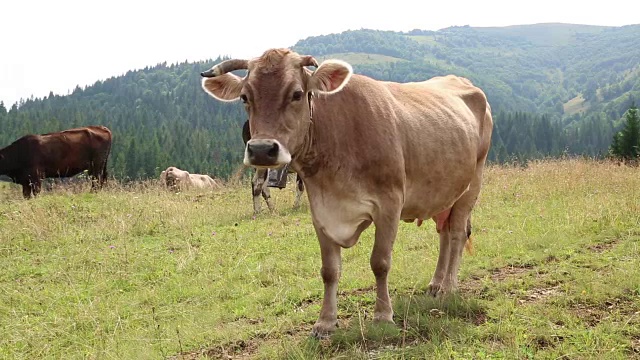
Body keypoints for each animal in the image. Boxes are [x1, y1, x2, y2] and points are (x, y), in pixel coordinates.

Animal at [202, 47, 492, 338]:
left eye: (296, 93)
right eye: (245, 97)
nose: (261, 149)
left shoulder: (389, 204)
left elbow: (380, 262)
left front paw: (383, 315)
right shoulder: (321, 209)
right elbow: (329, 270)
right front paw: (325, 322)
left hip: (472, 184)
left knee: (456, 234)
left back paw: (448, 287)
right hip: (444, 192)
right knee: (444, 233)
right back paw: (436, 284)